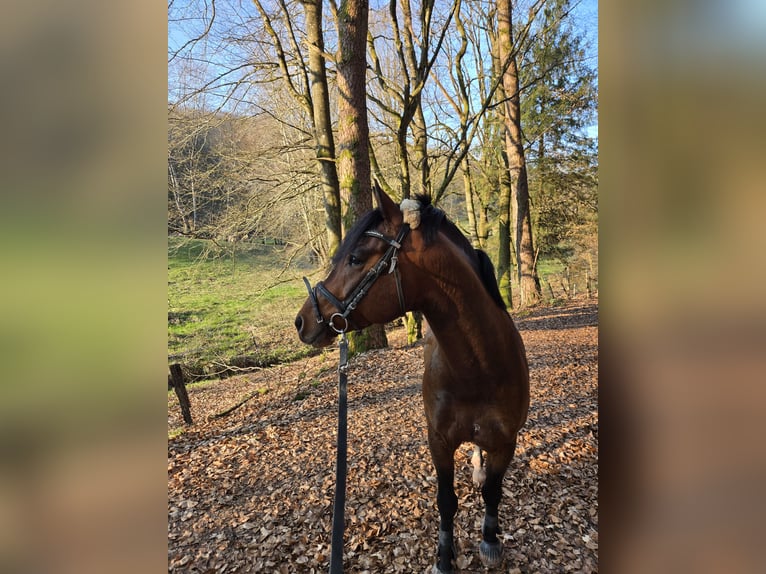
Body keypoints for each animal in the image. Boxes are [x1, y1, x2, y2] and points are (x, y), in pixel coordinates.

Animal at [295, 184, 530, 573]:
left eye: (355, 258)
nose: (303, 321)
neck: (478, 370)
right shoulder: (438, 441)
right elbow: (446, 500)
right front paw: (444, 557)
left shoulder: (506, 442)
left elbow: (493, 492)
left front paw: (490, 540)